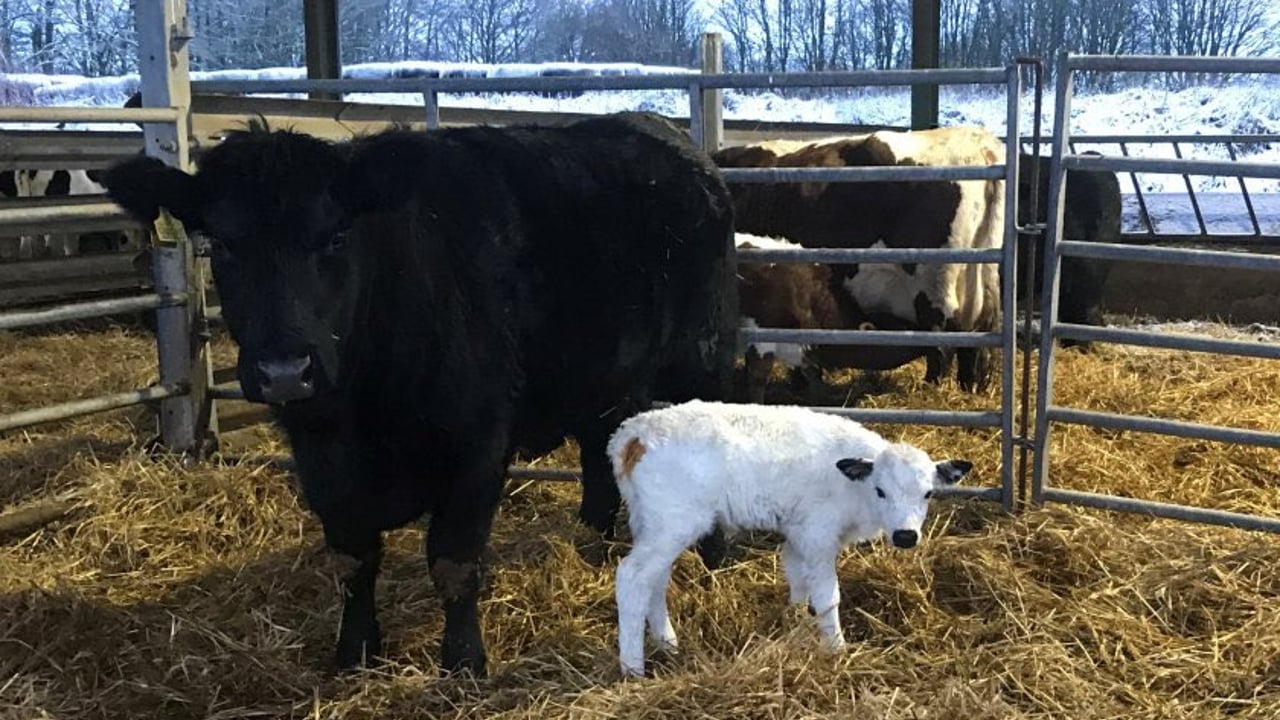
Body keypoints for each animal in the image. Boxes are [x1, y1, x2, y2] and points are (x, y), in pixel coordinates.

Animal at [103, 112, 739, 676]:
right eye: (222, 245)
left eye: (335, 236)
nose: (285, 370)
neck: (361, 413)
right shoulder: (319, 459)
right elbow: (352, 561)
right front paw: (355, 653)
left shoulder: (479, 447)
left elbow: (454, 563)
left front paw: (463, 663)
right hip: (601, 375)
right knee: (597, 449)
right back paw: (591, 546)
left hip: (702, 354)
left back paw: (715, 559)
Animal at [714, 126, 1007, 391]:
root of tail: (980, 144)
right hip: (981, 283)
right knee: (976, 343)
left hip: (935, 289)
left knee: (943, 346)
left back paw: (931, 388)